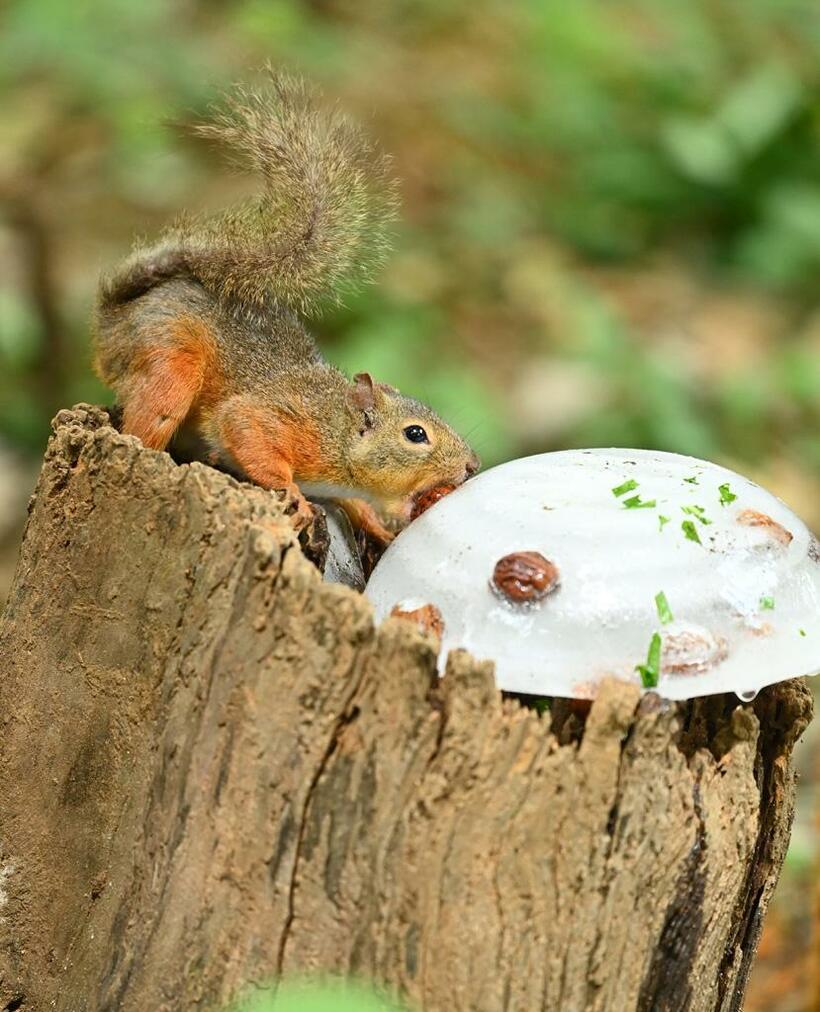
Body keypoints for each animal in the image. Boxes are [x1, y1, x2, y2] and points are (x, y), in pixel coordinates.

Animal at [93, 71, 479, 546]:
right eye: (415, 434)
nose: (472, 466)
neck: (339, 430)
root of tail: (112, 318)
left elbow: (357, 509)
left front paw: (380, 532)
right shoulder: (283, 420)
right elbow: (247, 431)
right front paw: (293, 494)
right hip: (170, 360)